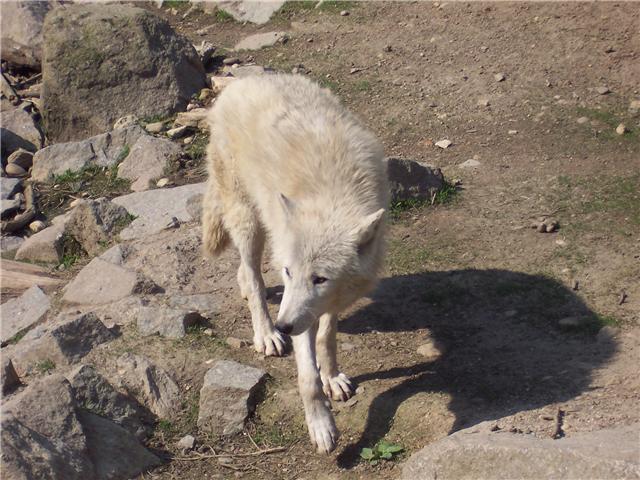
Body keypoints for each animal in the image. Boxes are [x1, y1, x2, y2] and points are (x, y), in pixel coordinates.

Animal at [202, 75, 388, 454]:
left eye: (320, 279)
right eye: (289, 273)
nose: (285, 326)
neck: (333, 194)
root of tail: (241, 80)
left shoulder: (330, 300)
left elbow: (327, 337)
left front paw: (332, 377)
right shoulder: (295, 304)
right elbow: (307, 378)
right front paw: (321, 425)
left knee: (245, 274)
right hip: (249, 223)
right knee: (254, 277)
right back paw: (265, 334)